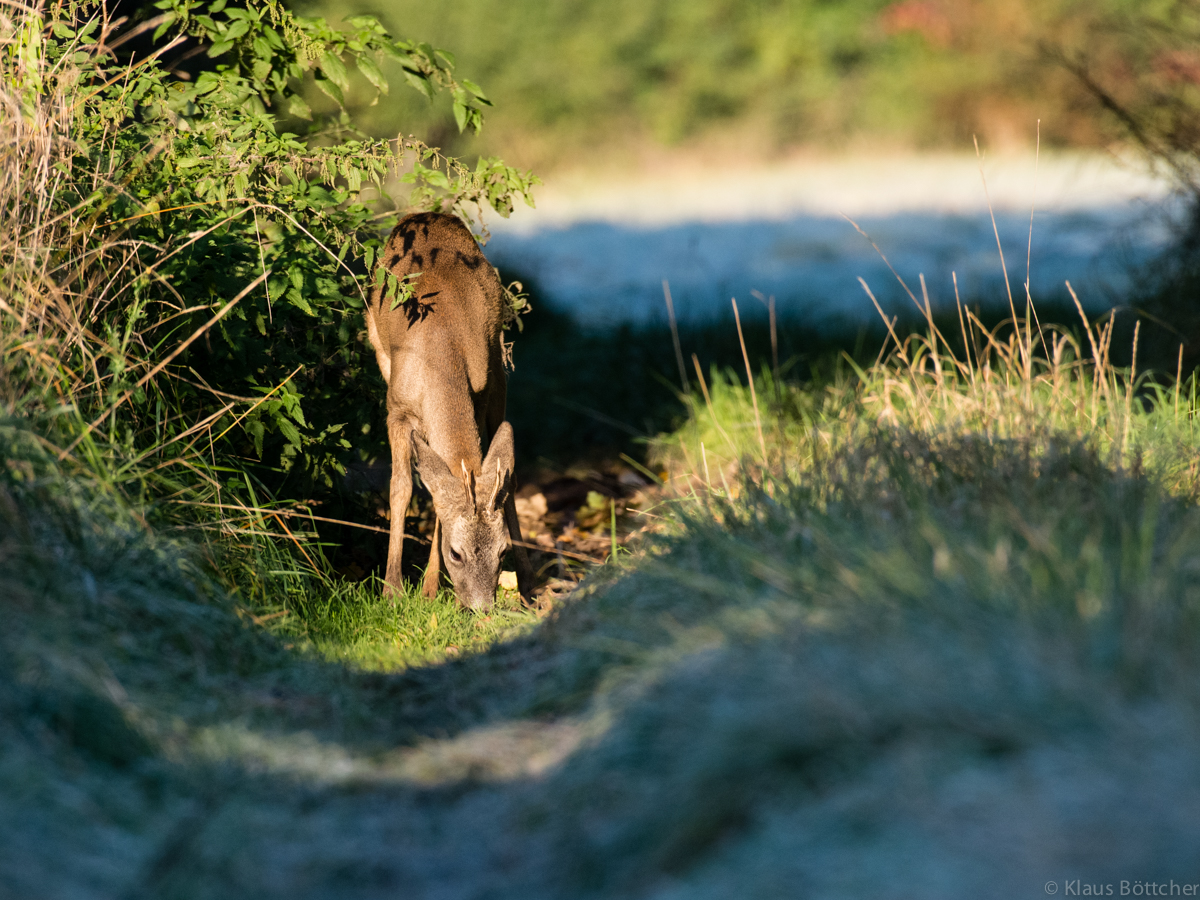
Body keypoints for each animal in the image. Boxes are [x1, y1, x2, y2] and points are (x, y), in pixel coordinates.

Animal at [364, 210, 535, 614]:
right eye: (456, 554)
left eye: (501, 552)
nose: (481, 607)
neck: (440, 349)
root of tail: (426, 215)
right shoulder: (396, 409)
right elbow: (401, 488)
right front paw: (393, 590)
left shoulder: (484, 387)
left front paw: (429, 588)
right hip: (378, 347)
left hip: (498, 368)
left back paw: (528, 584)